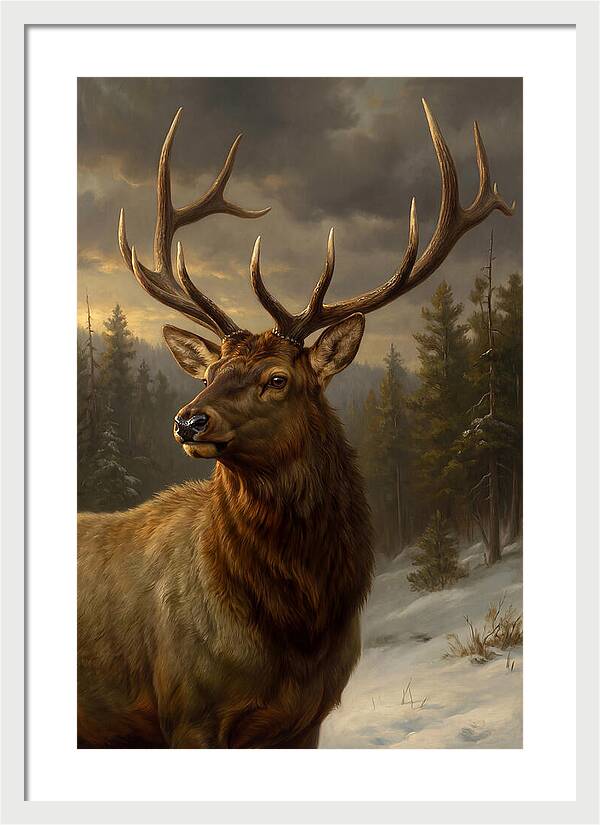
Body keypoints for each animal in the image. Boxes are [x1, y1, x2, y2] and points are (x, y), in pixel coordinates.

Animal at [77, 99, 514, 748]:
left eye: (278, 379)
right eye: (210, 371)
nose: (187, 421)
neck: (297, 630)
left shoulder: (306, 718)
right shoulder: (186, 712)